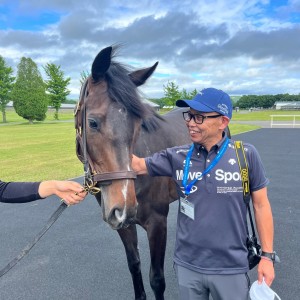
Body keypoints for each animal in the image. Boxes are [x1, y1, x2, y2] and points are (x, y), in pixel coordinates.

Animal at [75, 45, 230, 300]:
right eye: (92, 122)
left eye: (139, 124)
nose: (124, 205)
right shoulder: (124, 225)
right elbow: (134, 264)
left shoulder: (157, 223)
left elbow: (157, 279)